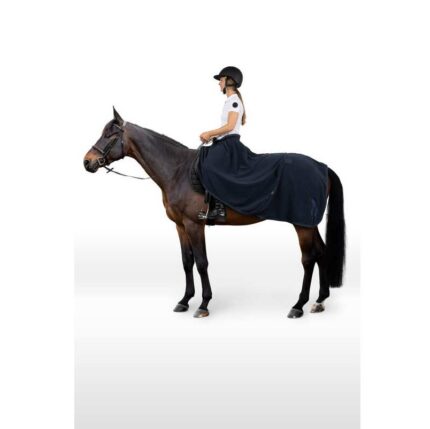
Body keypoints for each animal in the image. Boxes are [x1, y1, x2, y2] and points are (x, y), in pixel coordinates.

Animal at [83, 108, 346, 319]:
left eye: (110, 135)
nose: (87, 162)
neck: (177, 170)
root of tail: (322, 167)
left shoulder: (194, 225)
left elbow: (201, 263)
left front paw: (203, 304)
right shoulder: (180, 226)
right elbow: (186, 262)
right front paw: (184, 300)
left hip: (302, 225)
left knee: (308, 259)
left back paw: (299, 305)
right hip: (308, 223)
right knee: (321, 253)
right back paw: (320, 301)